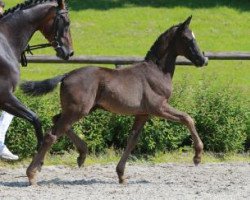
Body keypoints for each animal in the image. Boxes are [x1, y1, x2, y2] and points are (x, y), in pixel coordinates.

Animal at [21, 16, 208, 186]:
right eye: (188, 38)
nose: (203, 60)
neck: (157, 71)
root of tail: (66, 75)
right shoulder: (159, 108)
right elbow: (187, 118)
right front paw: (197, 156)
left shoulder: (143, 113)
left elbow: (132, 140)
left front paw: (121, 175)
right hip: (78, 110)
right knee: (51, 135)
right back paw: (32, 174)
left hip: (82, 109)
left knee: (56, 120)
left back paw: (81, 154)